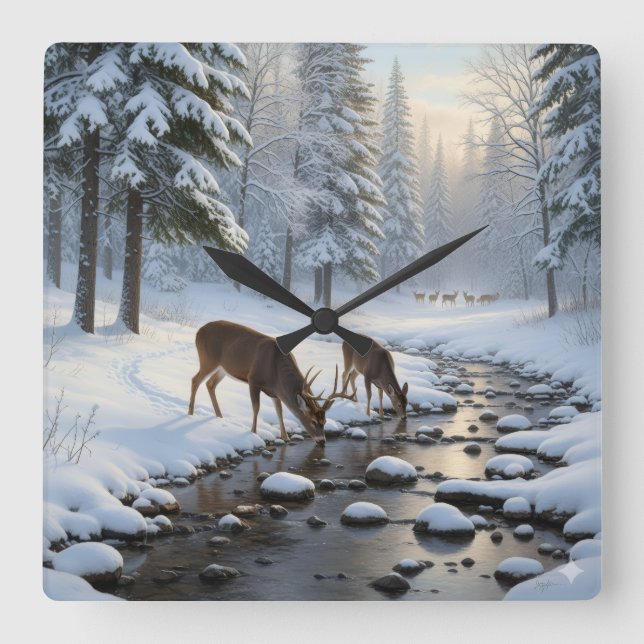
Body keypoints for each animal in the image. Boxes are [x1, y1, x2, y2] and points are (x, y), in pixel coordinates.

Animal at [188, 321, 357, 447]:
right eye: (313, 421)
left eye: (325, 421)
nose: (322, 442)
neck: (275, 370)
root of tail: (198, 332)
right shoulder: (253, 380)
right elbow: (256, 407)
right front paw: (254, 433)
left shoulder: (276, 392)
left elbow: (279, 411)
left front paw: (286, 437)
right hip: (208, 360)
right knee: (195, 380)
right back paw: (190, 413)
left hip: (222, 368)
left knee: (210, 384)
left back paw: (220, 416)